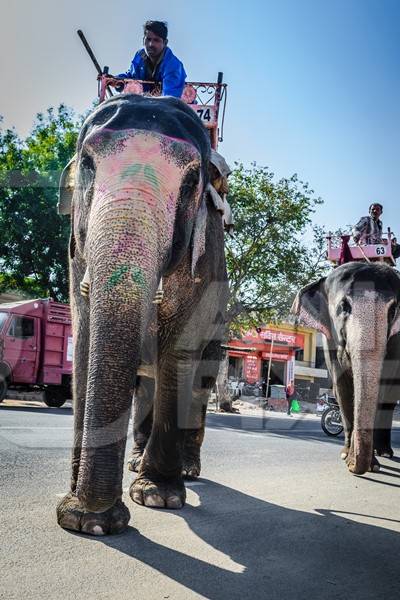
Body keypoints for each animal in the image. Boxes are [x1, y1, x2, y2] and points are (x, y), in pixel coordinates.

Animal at [56, 94, 228, 536]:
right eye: (87, 163)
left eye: (191, 180)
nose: (96, 522)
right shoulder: (74, 255)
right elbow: (84, 342)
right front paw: (82, 515)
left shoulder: (205, 261)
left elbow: (180, 352)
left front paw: (157, 497)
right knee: (145, 385)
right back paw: (136, 462)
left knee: (199, 384)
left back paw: (187, 470)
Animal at [292, 262, 400, 474]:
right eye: (344, 307)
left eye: (393, 311)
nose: (352, 465)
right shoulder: (329, 340)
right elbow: (342, 386)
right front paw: (345, 455)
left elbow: (381, 390)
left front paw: (372, 465)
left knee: (389, 401)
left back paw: (384, 452)